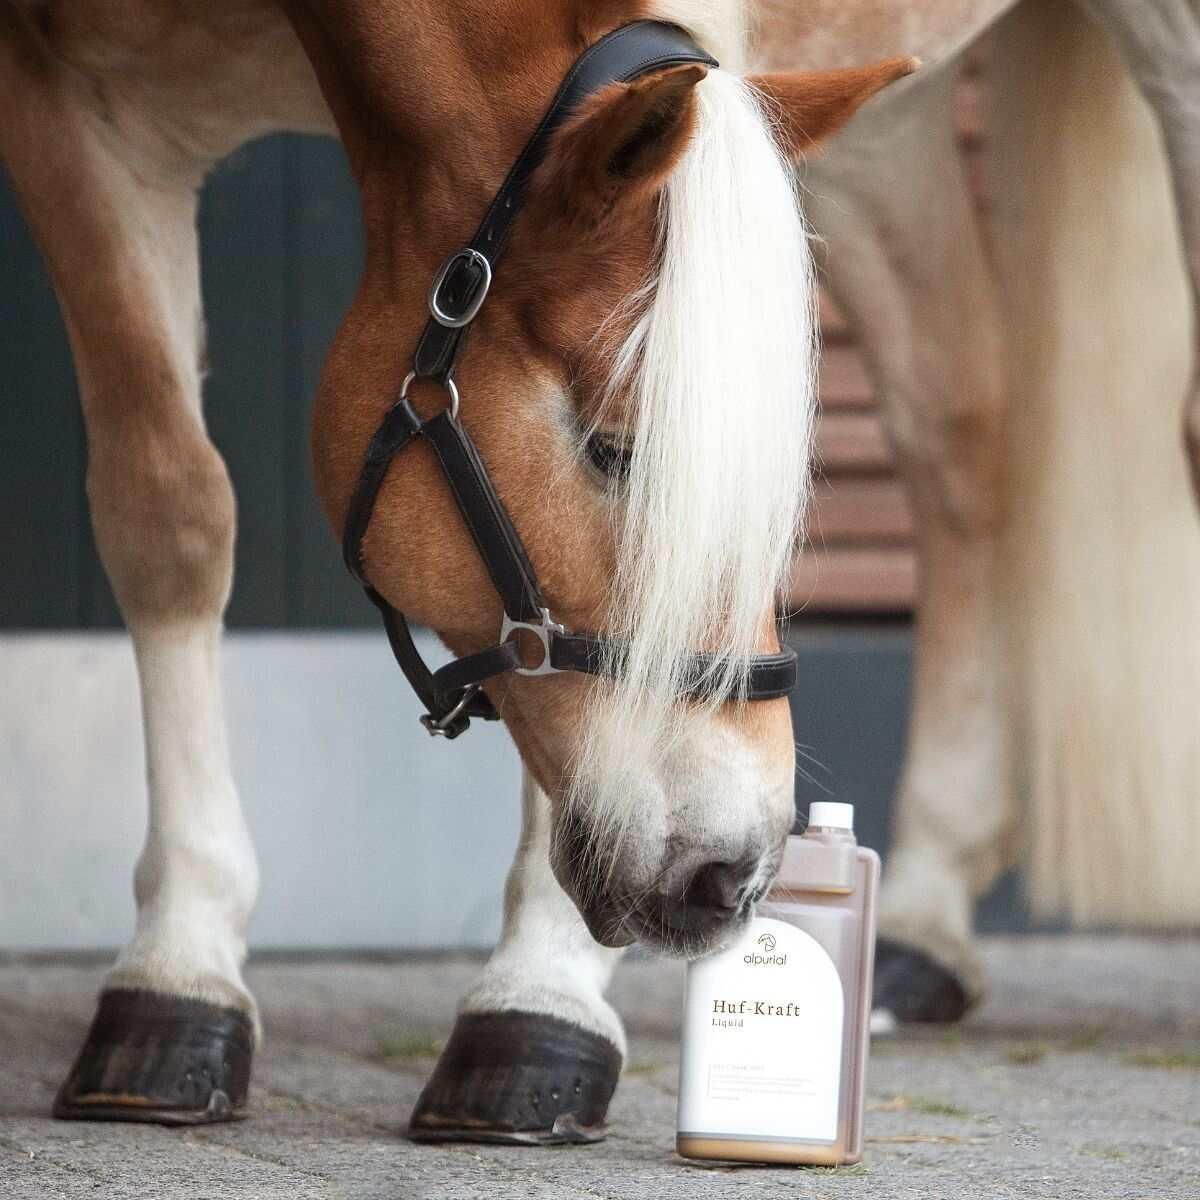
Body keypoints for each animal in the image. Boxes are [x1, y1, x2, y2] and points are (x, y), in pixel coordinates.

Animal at [0, 0, 911, 1135]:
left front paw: (538, 999)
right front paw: (177, 967)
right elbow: (166, 512)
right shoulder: (70, 101)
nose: (735, 875)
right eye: (618, 450)